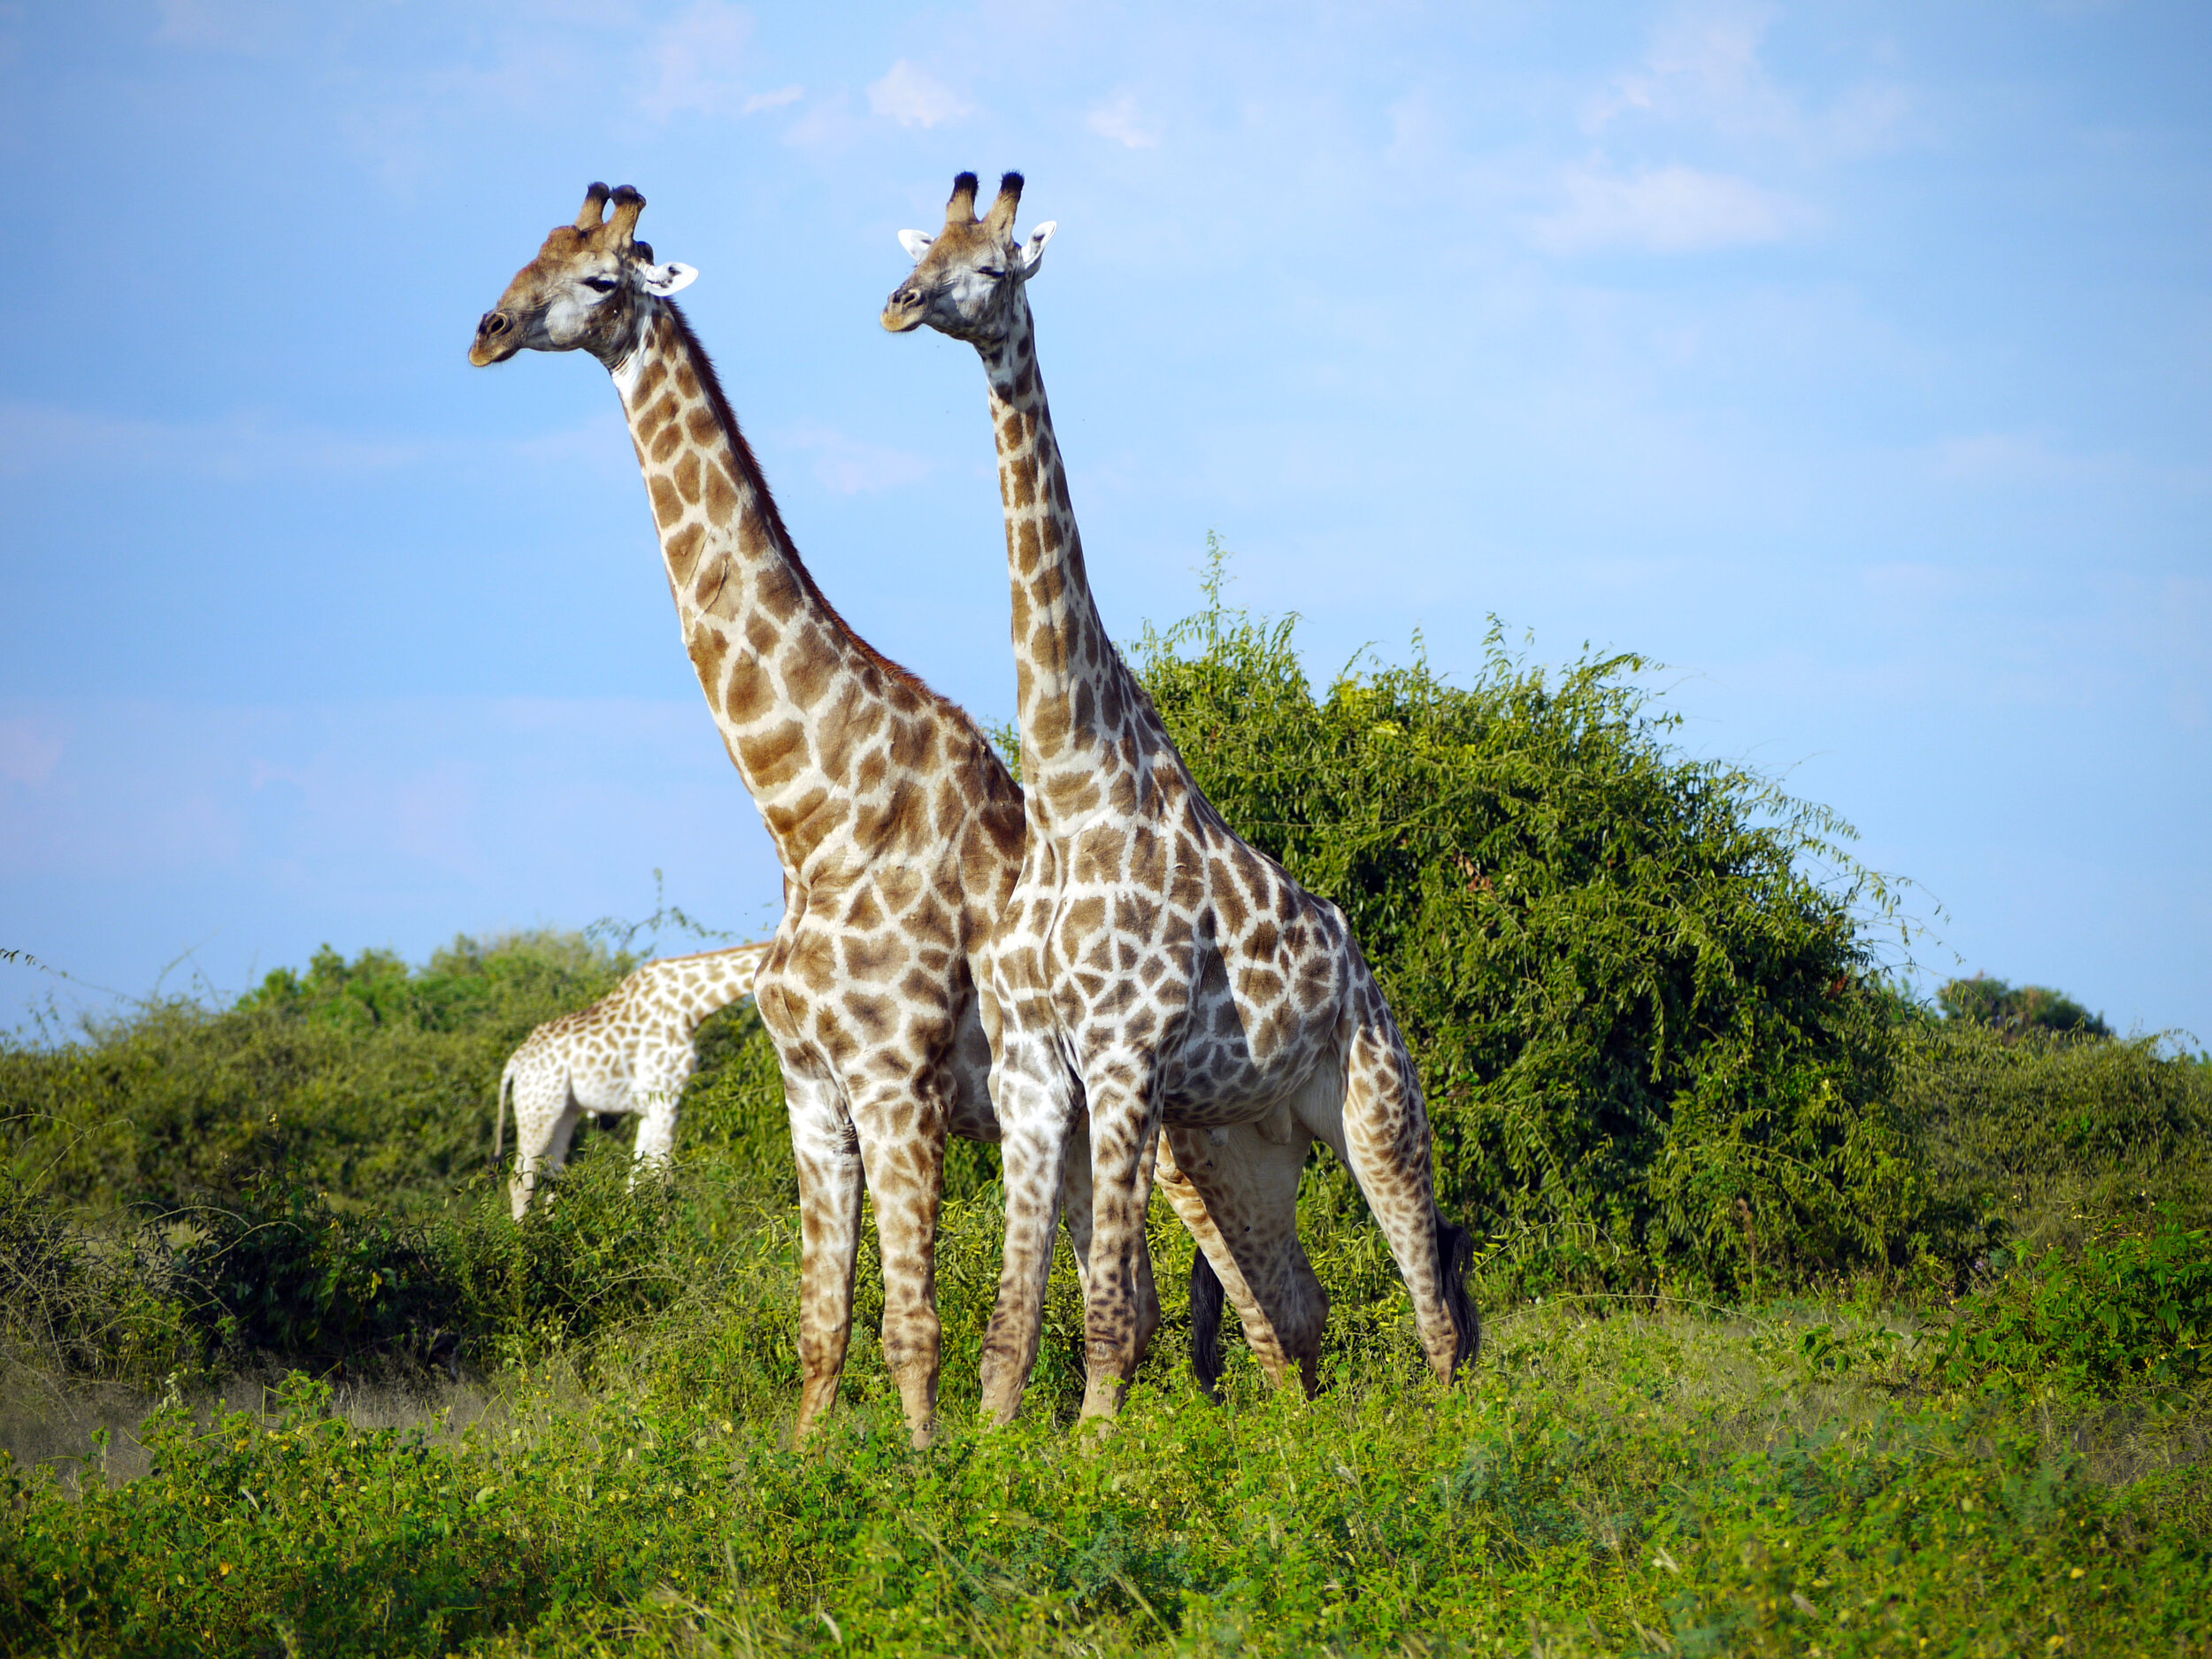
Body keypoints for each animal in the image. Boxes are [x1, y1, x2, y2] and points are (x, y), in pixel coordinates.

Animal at [497, 941, 772, 1220]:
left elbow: (637, 1178)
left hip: (565, 1112)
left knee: (551, 1175)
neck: (691, 1004)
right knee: (521, 1180)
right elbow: (661, 1176)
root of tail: (514, 1064)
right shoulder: (666, 1096)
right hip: (538, 1109)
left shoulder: (648, 1107)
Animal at [883, 172, 1481, 1424]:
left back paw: (1451, 1434)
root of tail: (1369, 977)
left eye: (995, 266)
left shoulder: (1121, 1054)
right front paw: (987, 1447)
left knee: (1432, 1304)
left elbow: (1111, 1308)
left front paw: (1096, 1449)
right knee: (1298, 1308)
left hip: (1376, 1106)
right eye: (920, 249)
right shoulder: (1030, 1064)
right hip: (1248, 1143)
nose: (899, 304)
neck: (1070, 791)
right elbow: (1013, 1319)